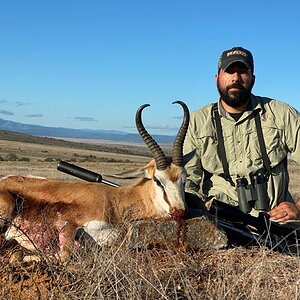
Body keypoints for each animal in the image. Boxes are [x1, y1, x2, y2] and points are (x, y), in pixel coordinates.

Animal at [0, 100, 190, 260]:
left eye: (184, 178)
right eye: (158, 180)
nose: (179, 212)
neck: (116, 201)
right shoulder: (68, 224)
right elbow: (63, 255)